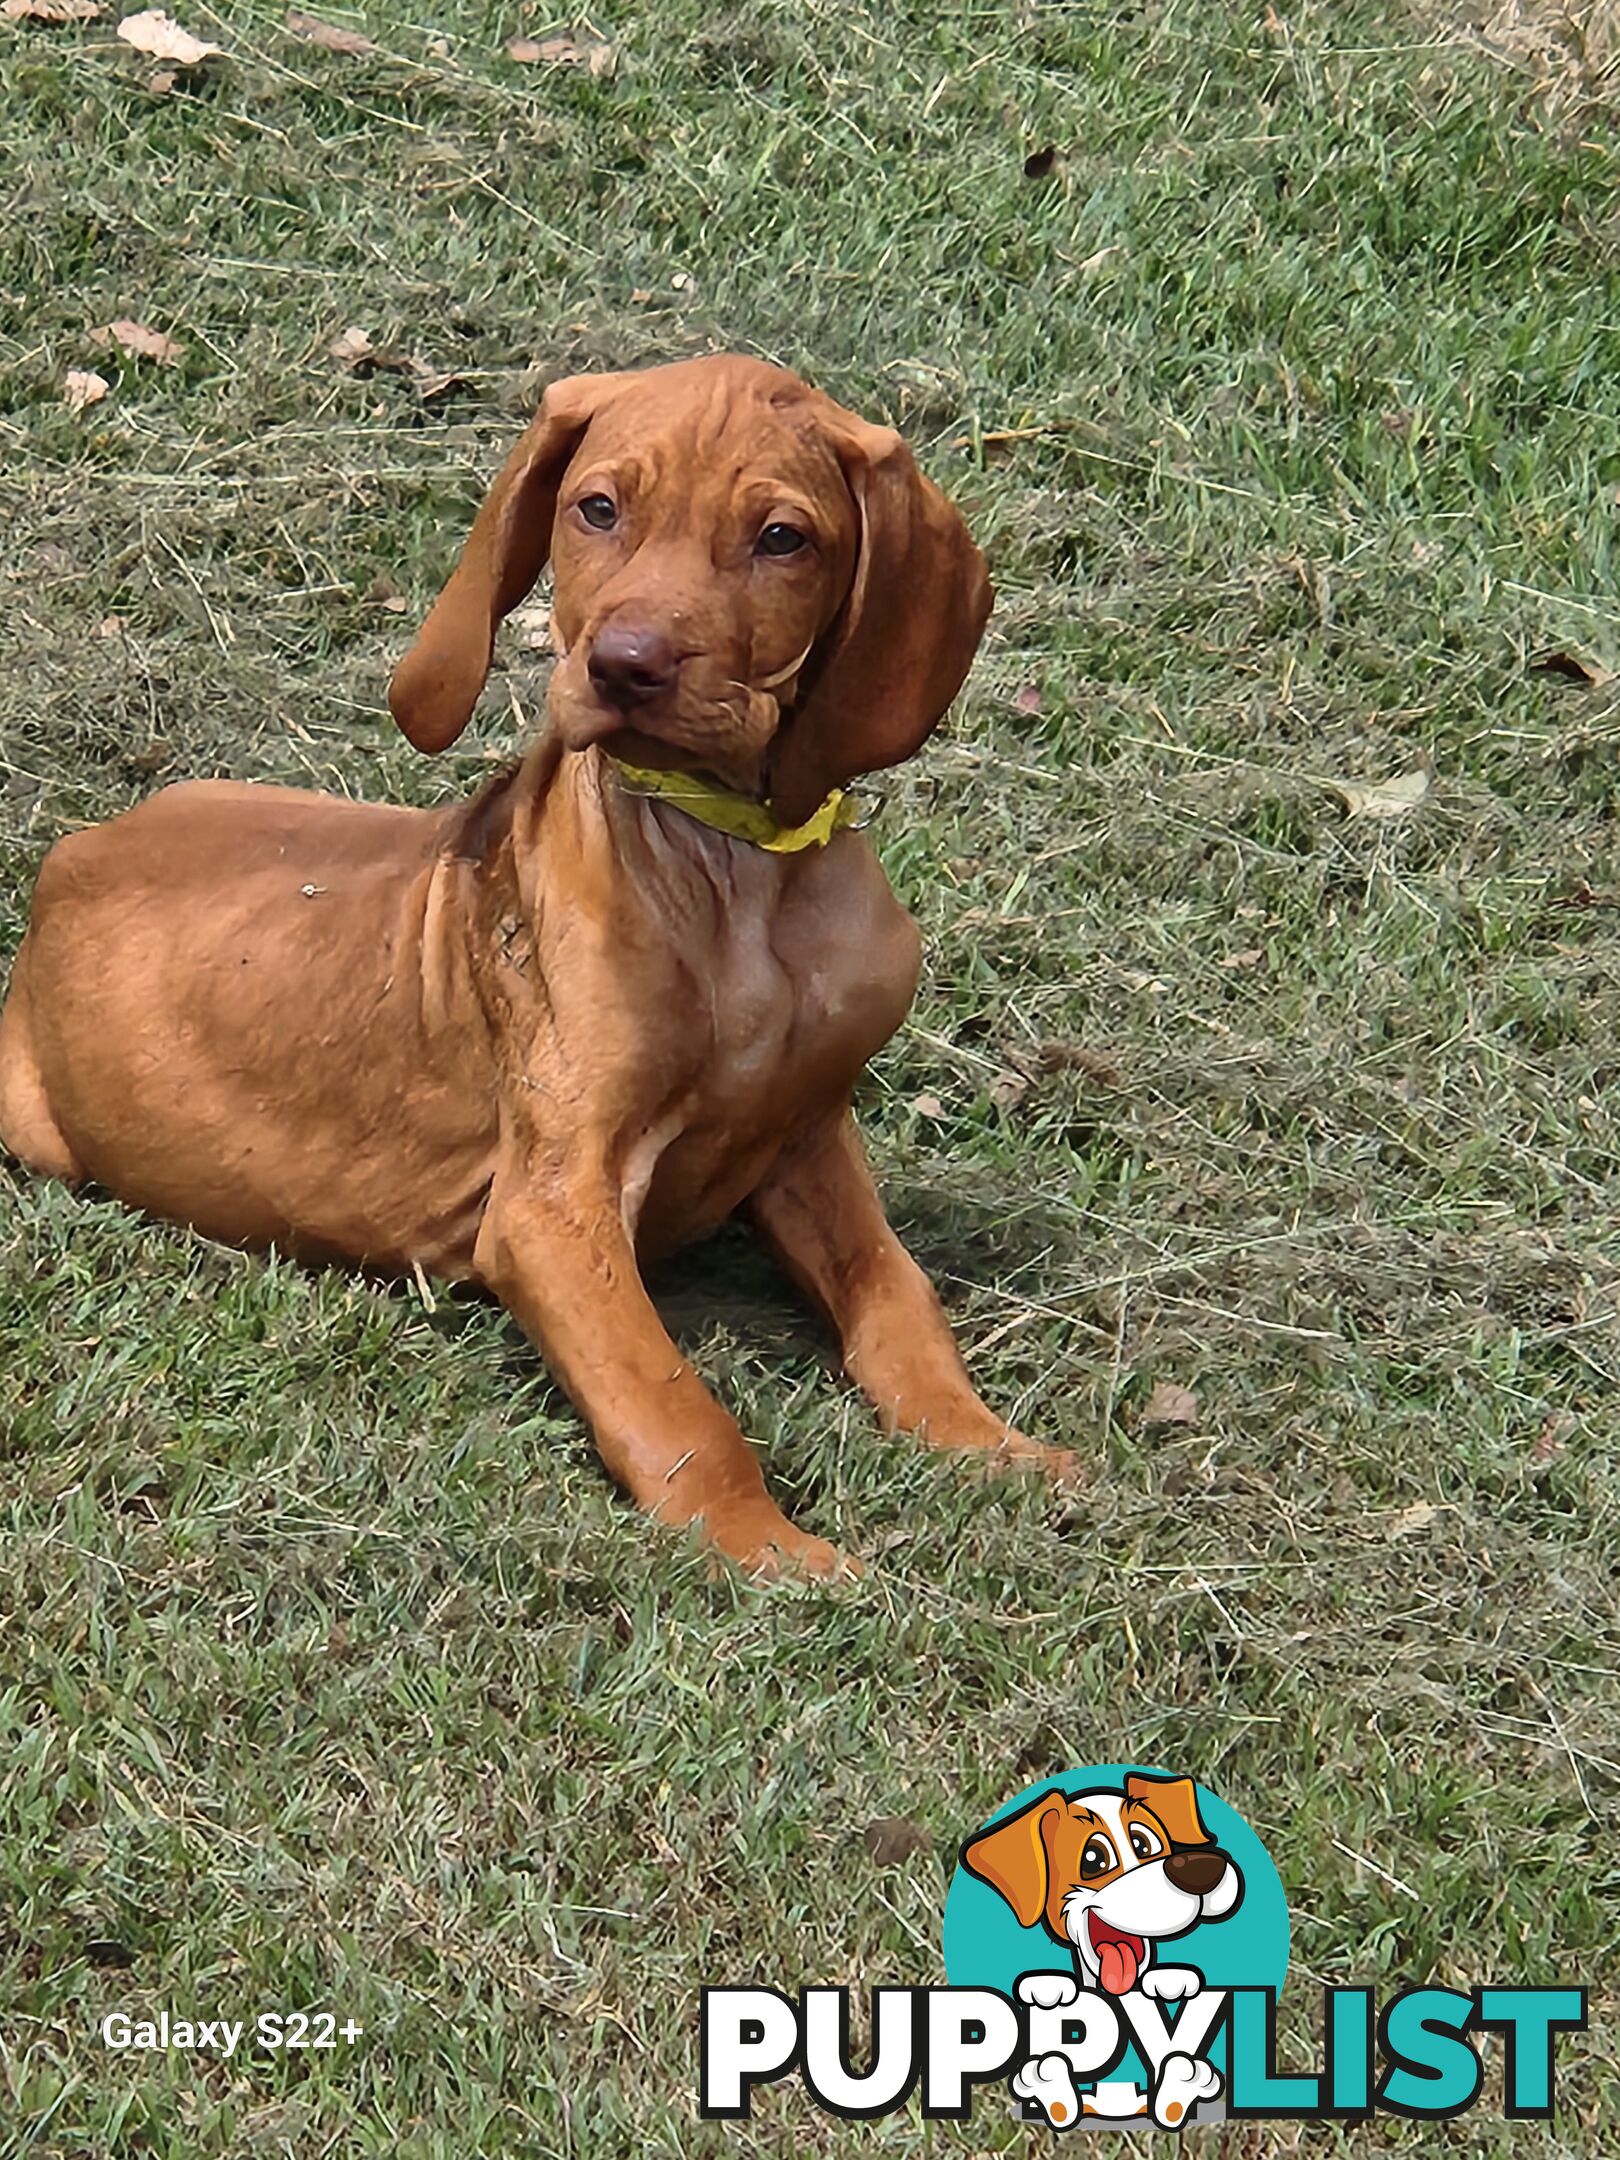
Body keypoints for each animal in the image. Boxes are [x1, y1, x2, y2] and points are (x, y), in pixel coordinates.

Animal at [9, 349, 1092, 1572]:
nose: (624, 666)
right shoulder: (552, 1205)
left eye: (783, 539)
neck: (732, 872)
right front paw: (773, 1551)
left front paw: (986, 1441)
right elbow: (673, 1401)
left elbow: (897, 1299)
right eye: (598, 509)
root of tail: (70, 859)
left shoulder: (809, 1133)